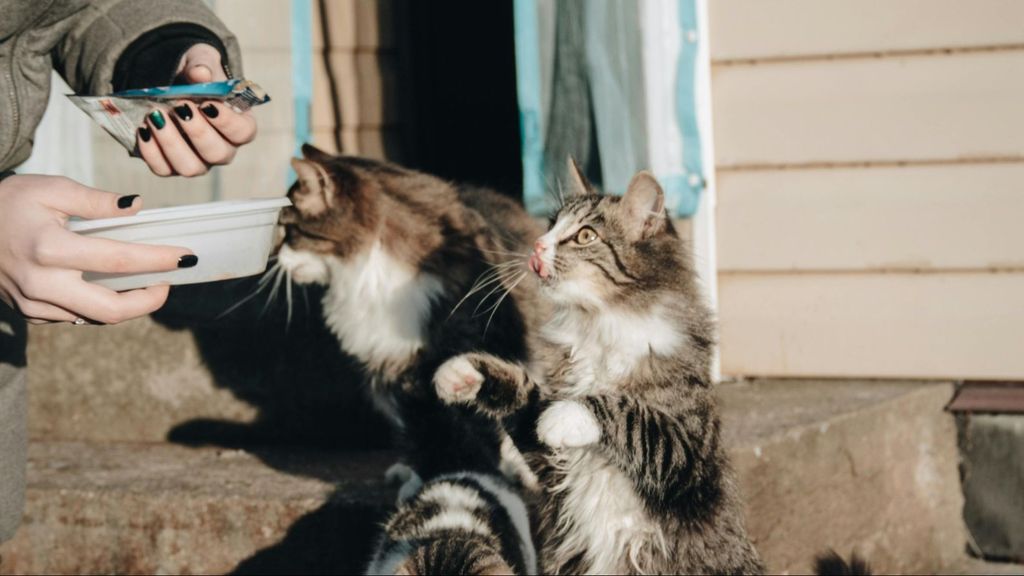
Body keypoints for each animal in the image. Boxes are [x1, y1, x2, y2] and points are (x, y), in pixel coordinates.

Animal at [272, 143, 544, 479]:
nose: (275, 256)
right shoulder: (395, 374)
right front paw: (425, 477)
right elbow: (421, 434)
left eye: (288, 230)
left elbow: (488, 419)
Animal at [436, 161, 765, 573]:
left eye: (584, 236)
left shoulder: (686, 455)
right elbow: (522, 393)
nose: (537, 246)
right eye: (551, 224)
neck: (597, 325)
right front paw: (462, 374)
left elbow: (628, 413)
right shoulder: (550, 462)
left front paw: (566, 416)